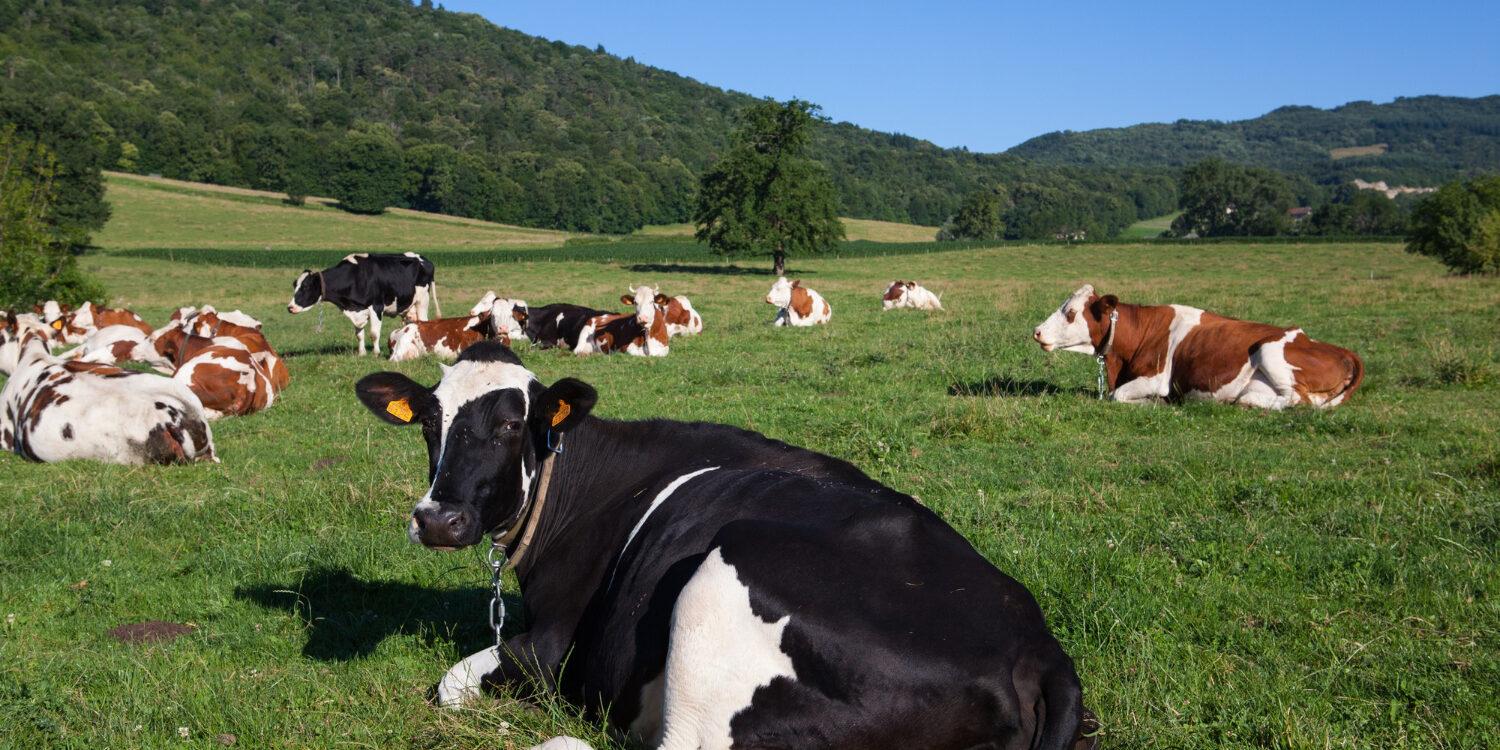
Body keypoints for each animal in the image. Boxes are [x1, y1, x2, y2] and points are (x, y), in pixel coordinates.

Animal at [287, 252, 440, 356]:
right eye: (295, 285)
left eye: (305, 286)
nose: (290, 308)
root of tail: (425, 260)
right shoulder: (357, 311)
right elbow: (359, 334)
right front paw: (362, 353)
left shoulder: (376, 307)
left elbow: (374, 333)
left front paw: (376, 353)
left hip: (422, 301)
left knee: (424, 322)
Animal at [353, 341, 1098, 750]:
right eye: (428, 422)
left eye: (513, 425)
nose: (438, 520)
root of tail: (1037, 647)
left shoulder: (550, 649)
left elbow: (451, 683)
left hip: (722, 582)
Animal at [1032, 284, 1365, 409]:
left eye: (1070, 313)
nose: (1036, 331)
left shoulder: (1156, 378)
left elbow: (1118, 395)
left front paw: (1154, 402)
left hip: (1269, 350)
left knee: (1298, 400)